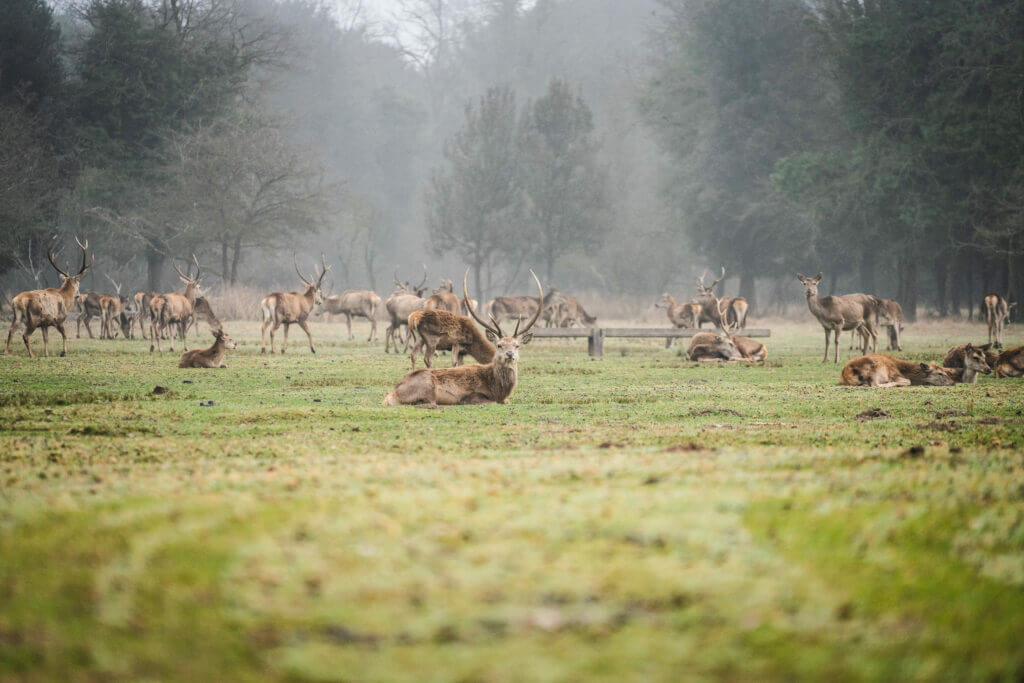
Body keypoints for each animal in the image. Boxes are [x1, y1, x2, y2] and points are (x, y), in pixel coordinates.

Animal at [382, 268, 544, 405]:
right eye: (499, 345)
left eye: (517, 346)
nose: (510, 354)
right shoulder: (457, 345)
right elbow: (455, 365)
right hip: (431, 348)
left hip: (419, 339)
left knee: (414, 355)